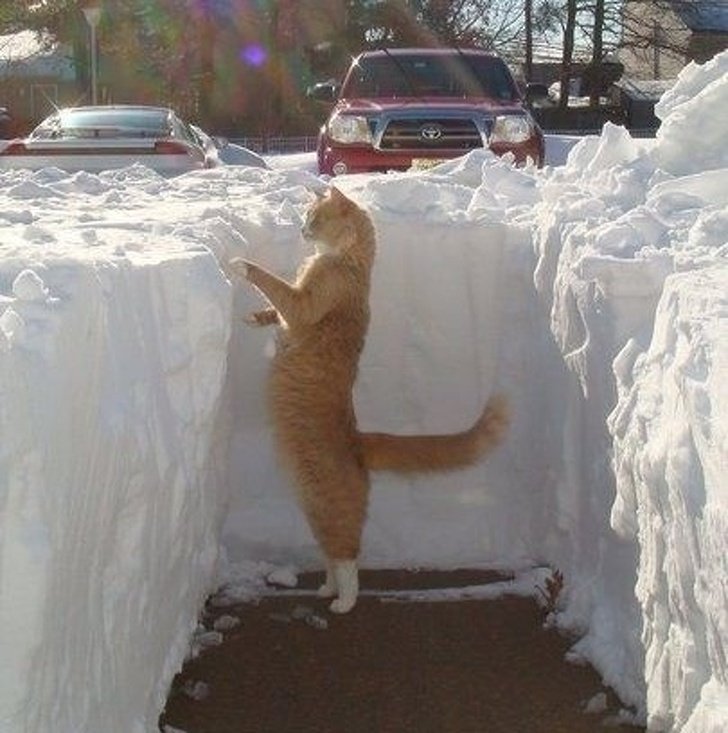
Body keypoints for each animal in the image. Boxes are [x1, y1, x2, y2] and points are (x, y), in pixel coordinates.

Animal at [228, 187, 509, 614]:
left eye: (314, 217)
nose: (301, 229)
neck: (350, 264)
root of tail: (358, 440)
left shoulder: (303, 304)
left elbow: (274, 286)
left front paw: (242, 266)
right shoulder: (293, 307)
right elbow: (275, 308)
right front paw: (256, 317)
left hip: (327, 503)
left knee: (348, 556)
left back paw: (343, 601)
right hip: (314, 507)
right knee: (331, 553)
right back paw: (326, 589)